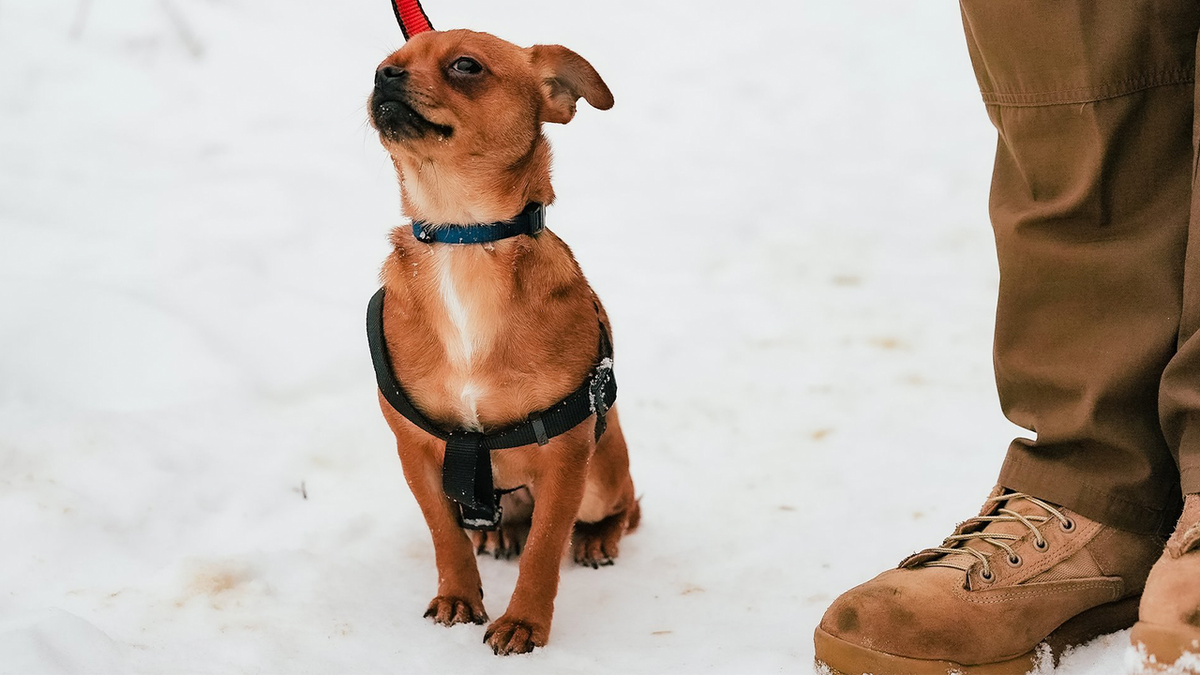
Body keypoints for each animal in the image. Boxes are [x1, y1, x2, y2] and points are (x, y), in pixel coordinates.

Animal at [364, 28, 643, 653]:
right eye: (385, 64)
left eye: (466, 66)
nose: (383, 77)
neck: (464, 238)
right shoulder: (418, 453)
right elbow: (445, 535)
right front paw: (458, 596)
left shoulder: (566, 460)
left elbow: (544, 551)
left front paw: (523, 623)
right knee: (506, 520)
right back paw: (499, 534)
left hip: (602, 475)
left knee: (626, 507)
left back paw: (597, 538)